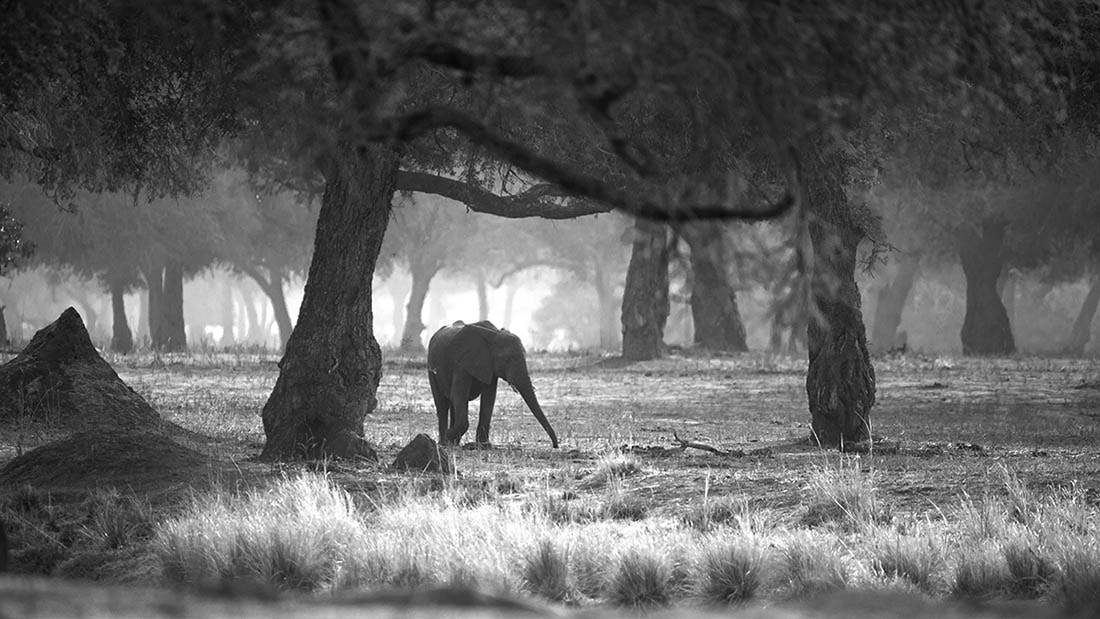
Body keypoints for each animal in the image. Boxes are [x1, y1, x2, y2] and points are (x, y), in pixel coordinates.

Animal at [426, 323, 558, 448]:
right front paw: (449, 437)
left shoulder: (490, 367)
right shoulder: (461, 364)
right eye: (506, 360)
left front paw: (483, 445)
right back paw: (444, 443)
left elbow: (489, 398)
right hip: (431, 368)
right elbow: (459, 395)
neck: (493, 335)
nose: (555, 445)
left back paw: (453, 443)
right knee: (442, 404)